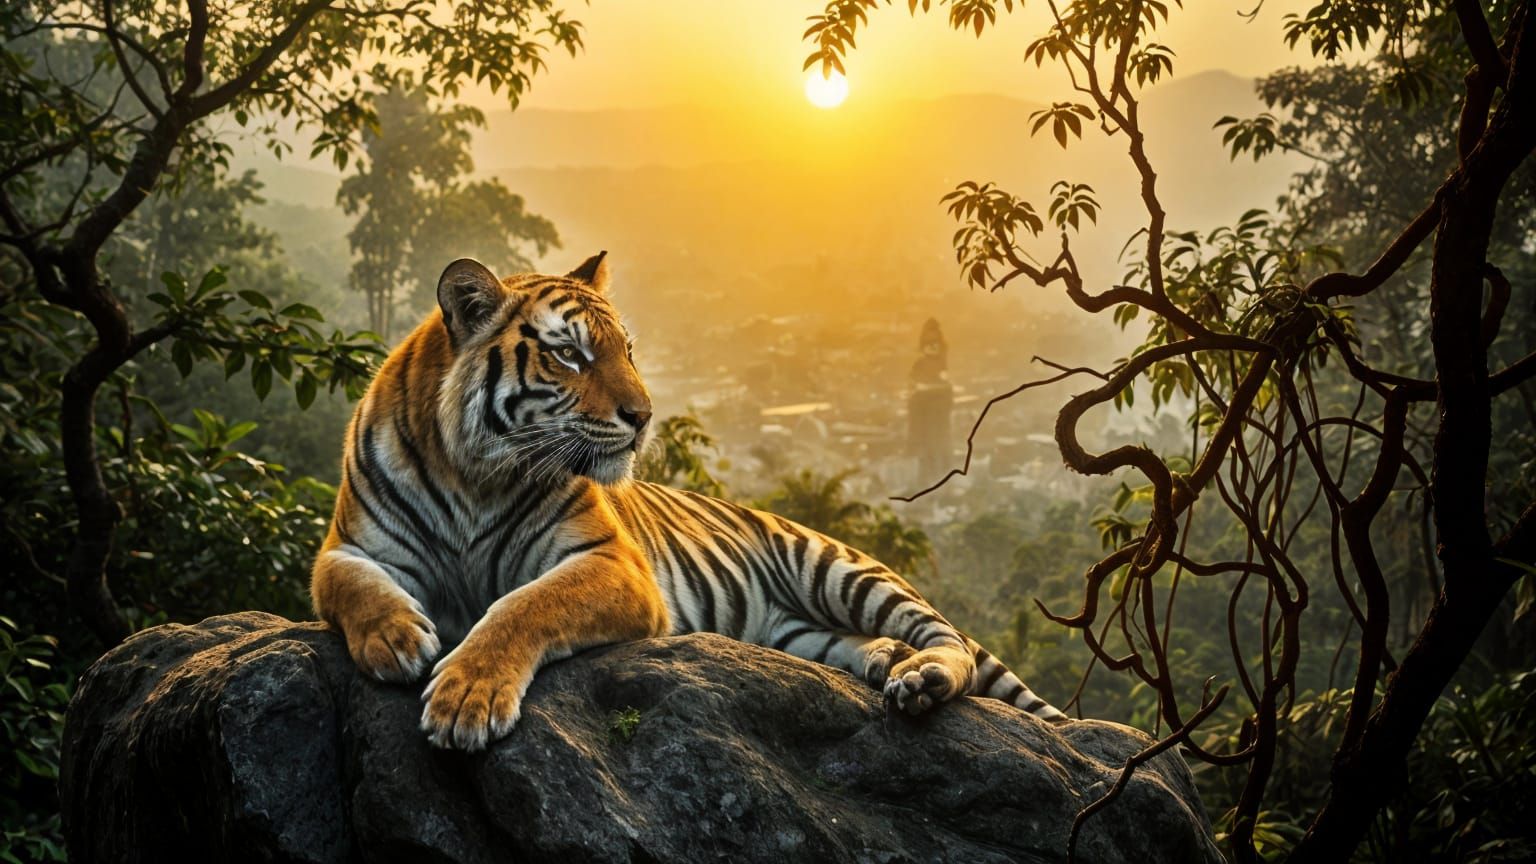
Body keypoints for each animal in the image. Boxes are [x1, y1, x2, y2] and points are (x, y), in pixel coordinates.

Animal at [311, 252, 1068, 751]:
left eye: (627, 349)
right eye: (571, 355)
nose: (644, 416)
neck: (472, 470)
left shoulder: (611, 563)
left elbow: (524, 606)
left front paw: (467, 696)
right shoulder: (348, 547)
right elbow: (354, 587)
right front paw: (395, 637)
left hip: (840, 570)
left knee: (947, 640)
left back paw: (921, 677)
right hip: (792, 630)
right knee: (850, 643)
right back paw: (885, 661)